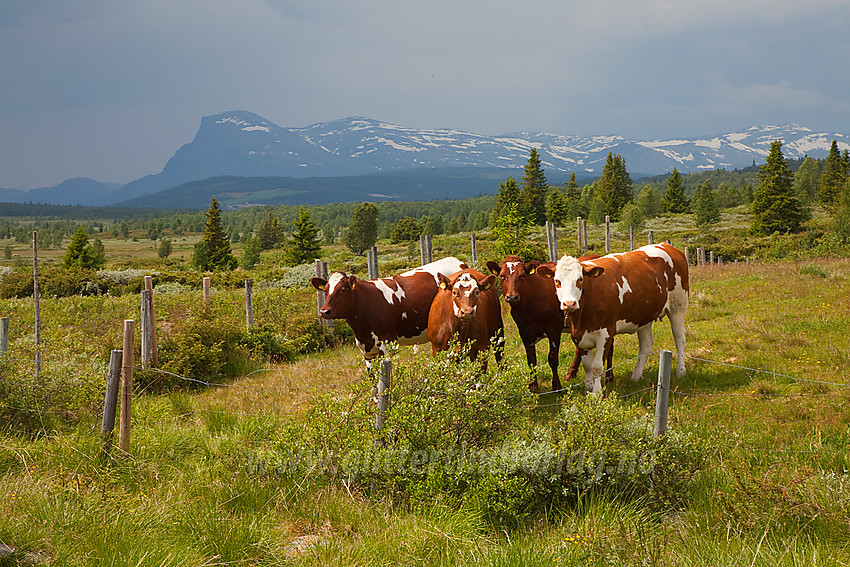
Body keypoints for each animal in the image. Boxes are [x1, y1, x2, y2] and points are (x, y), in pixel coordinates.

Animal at [486, 255, 612, 392]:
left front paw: (556, 385)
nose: (512, 297)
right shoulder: (524, 331)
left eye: (522, 275)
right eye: (502, 276)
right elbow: (531, 360)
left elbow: (552, 359)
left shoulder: (554, 330)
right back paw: (571, 373)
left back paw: (609, 376)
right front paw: (533, 385)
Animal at [540, 244, 684, 394]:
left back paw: (680, 371)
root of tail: (666, 245)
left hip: (678, 306)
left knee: (679, 337)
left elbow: (597, 366)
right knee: (646, 343)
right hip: (644, 316)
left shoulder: (605, 333)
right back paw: (636, 376)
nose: (569, 303)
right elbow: (587, 365)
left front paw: (596, 393)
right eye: (557, 281)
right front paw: (588, 388)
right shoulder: (580, 336)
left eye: (580, 279)